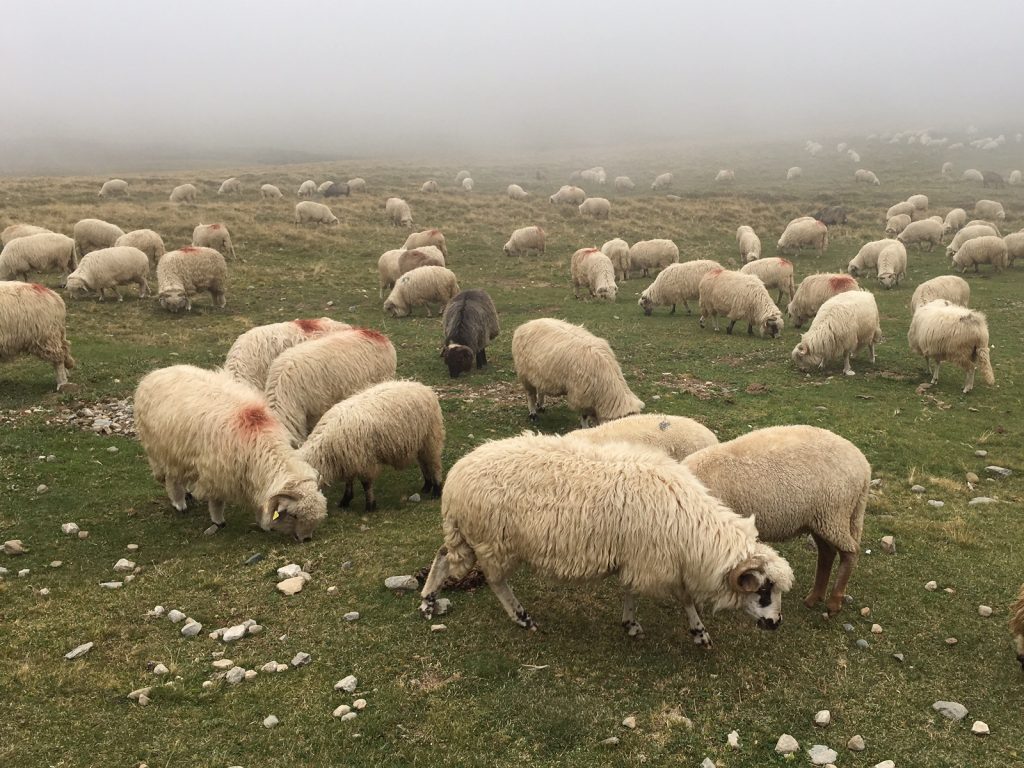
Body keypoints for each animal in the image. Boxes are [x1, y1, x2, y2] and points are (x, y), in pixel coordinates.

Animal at [133, 365, 327, 540]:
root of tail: (154, 374)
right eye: (293, 515)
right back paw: (179, 503)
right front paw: (218, 521)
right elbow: (217, 501)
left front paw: (262, 523)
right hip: (163, 449)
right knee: (171, 479)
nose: (306, 539)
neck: (259, 437)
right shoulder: (217, 472)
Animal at [298, 380, 444, 511]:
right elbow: (349, 481)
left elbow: (366, 484)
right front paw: (346, 500)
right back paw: (426, 486)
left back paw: (436, 490)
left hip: (431, 438)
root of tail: (424, 388)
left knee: (434, 464)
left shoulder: (364, 461)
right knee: (424, 463)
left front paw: (370, 505)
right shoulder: (349, 459)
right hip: (420, 443)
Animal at [418, 432, 794, 645]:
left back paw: (428, 600)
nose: (776, 624)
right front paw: (699, 634)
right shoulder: (655, 562)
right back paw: (522, 617)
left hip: (470, 534)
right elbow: (685, 598)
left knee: (444, 555)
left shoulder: (637, 558)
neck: (691, 526)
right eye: (763, 592)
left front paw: (630, 624)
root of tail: (456, 476)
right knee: (495, 581)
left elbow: (629, 590)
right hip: (494, 541)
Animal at [511, 317, 643, 426]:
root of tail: (528, 323)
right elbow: (584, 416)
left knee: (540, 388)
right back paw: (533, 413)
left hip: (539, 373)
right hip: (524, 374)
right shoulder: (582, 397)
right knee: (530, 395)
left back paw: (541, 405)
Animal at [684, 425, 870, 615]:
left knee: (850, 552)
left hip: (834, 514)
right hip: (819, 520)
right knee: (827, 552)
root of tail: (863, 465)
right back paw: (814, 597)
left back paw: (834, 602)